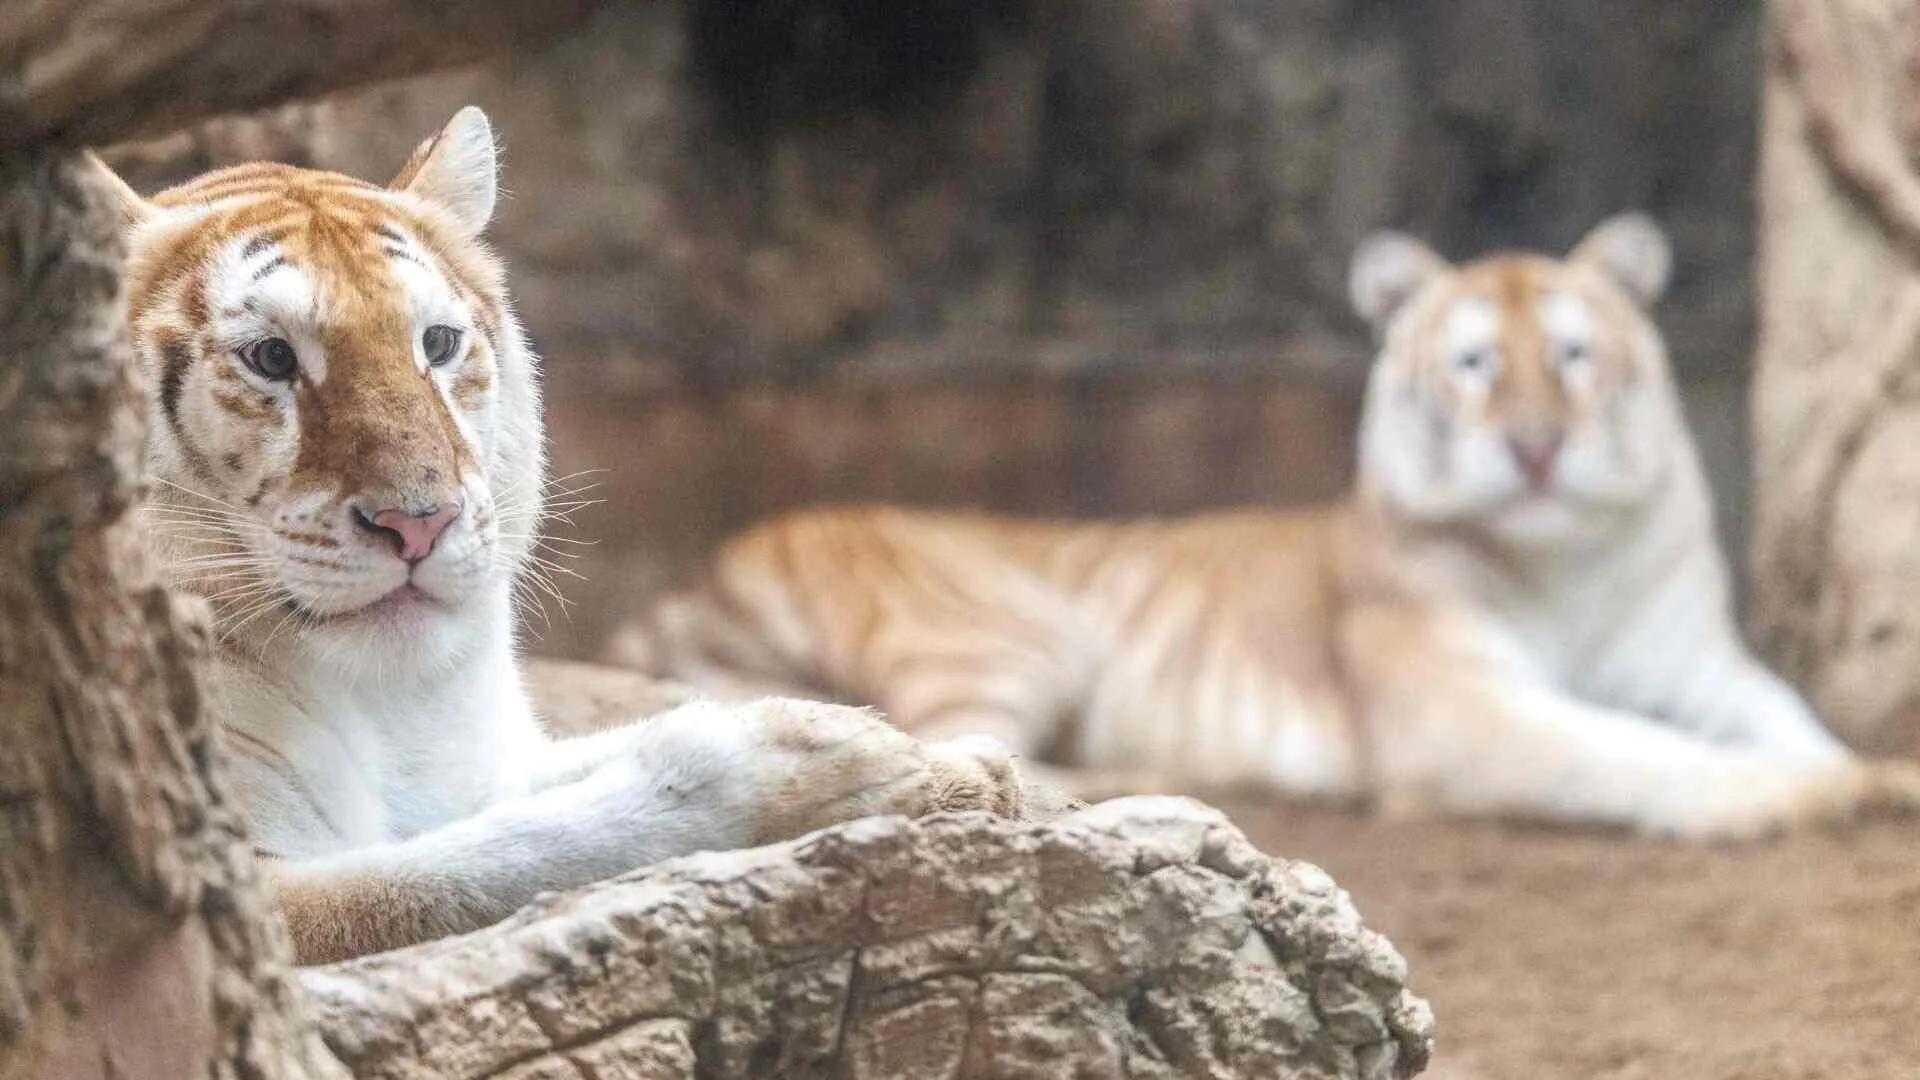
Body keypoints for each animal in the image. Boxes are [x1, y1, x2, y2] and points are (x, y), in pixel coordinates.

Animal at [625, 214, 1920, 841]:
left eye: (1572, 353)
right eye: (1473, 364)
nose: (1536, 446)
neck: (1571, 561)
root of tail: (708, 565)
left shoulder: (1701, 662)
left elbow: (1786, 721)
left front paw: (1868, 776)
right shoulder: (1462, 713)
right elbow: (1632, 754)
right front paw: (1789, 804)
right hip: (1011, 639)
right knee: (950, 753)